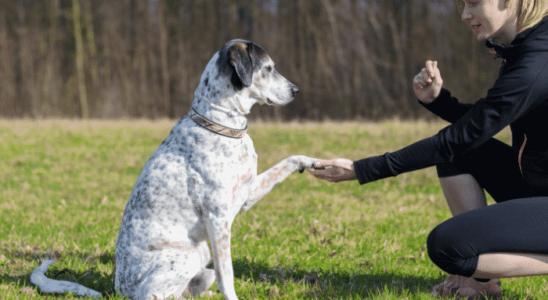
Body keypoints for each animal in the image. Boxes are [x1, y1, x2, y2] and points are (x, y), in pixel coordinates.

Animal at [31, 39, 316, 300]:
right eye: (268, 68)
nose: (296, 90)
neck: (221, 124)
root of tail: (118, 290)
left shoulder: (247, 194)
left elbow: (288, 161)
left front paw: (313, 162)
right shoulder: (218, 218)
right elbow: (228, 275)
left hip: (201, 255)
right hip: (187, 256)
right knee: (156, 295)